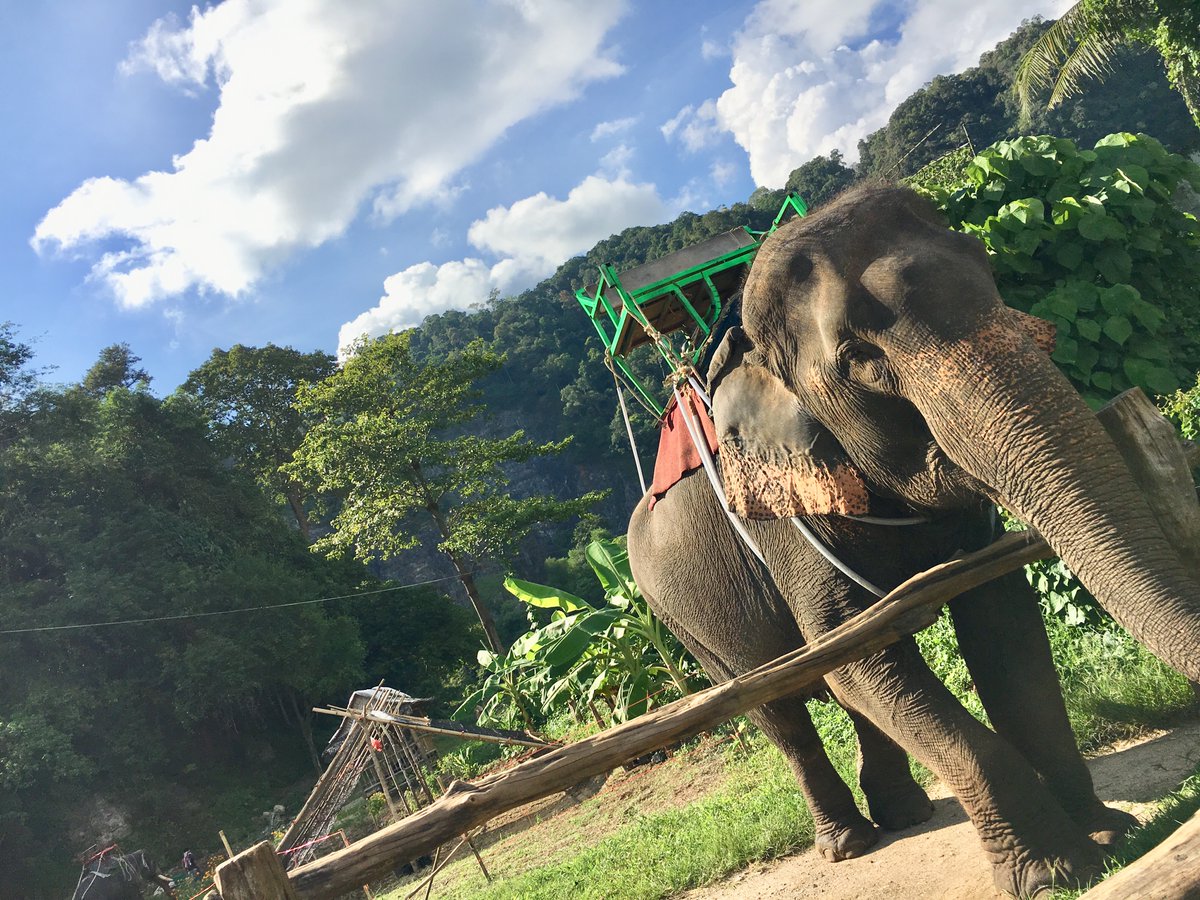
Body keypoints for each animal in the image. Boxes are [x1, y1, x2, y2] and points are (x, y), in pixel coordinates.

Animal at [627, 183, 1200, 898]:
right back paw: (848, 844)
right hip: (688, 628)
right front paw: (1053, 874)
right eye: (859, 360)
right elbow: (854, 662)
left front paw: (1108, 834)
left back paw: (905, 813)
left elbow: (1001, 623)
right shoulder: (782, 520)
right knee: (783, 707)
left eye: (988, 269)